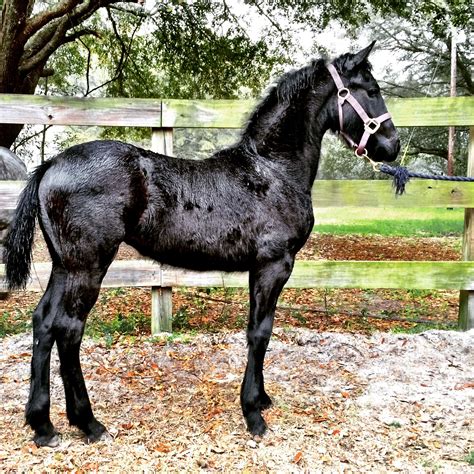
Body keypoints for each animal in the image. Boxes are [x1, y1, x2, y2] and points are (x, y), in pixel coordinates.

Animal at [2, 42, 400, 446]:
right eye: (371, 90)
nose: (393, 145)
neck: (272, 171)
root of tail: (51, 164)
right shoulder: (274, 264)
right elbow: (260, 332)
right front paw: (253, 414)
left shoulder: (260, 268)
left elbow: (258, 329)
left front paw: (262, 399)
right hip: (88, 266)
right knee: (68, 330)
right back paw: (88, 423)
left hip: (63, 265)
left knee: (43, 323)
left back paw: (43, 424)